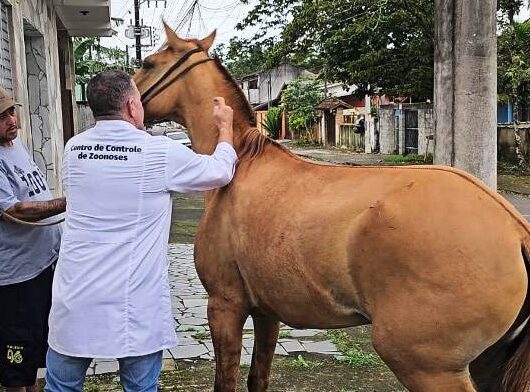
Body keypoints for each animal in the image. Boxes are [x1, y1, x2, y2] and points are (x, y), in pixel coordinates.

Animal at [134, 25, 528, 392]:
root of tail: (514, 228)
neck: (239, 161)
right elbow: (257, 378)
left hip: (427, 367)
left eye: (148, 63)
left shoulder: (225, 306)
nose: (128, 99)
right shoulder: (267, 313)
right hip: (485, 364)